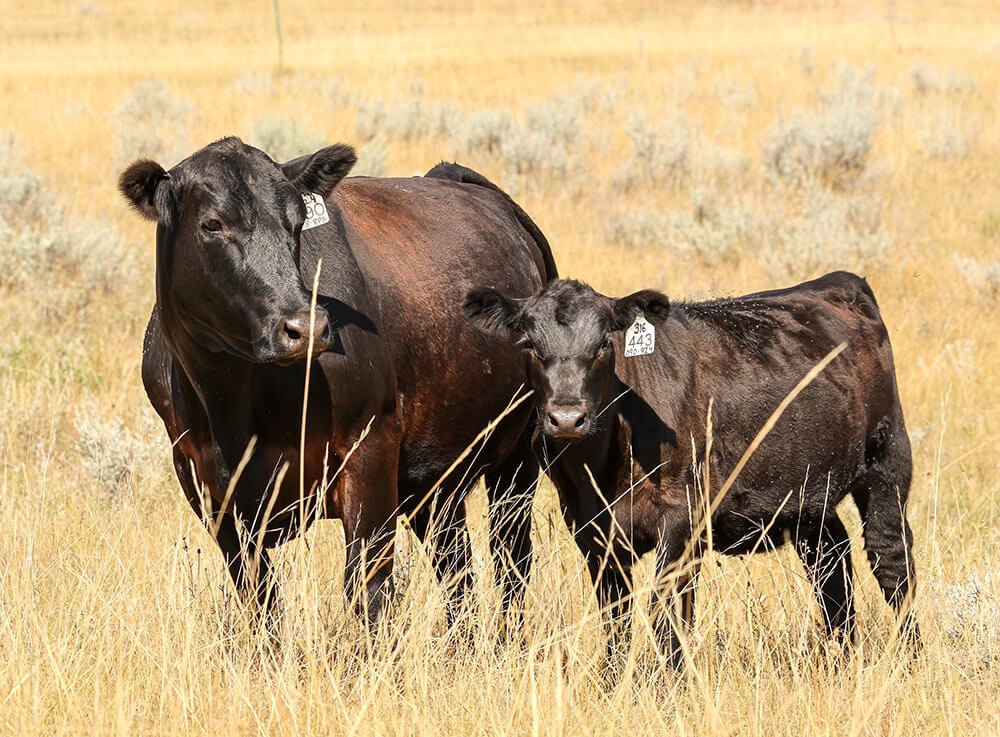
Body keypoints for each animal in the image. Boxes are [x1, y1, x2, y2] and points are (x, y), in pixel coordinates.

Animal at [119, 137, 557, 636]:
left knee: (511, 559)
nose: (305, 327)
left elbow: (368, 592)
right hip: (436, 479)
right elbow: (261, 603)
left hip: (520, 452)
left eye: (296, 222)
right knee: (456, 567)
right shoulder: (209, 490)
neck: (233, 403)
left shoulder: (369, 451)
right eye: (212, 223)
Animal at [463, 272, 919, 669]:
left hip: (887, 461)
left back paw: (908, 659)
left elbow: (666, 612)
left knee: (891, 559)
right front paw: (612, 681)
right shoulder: (590, 528)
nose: (567, 418)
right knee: (831, 563)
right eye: (528, 343)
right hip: (809, 493)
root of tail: (838, 283)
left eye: (605, 344)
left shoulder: (682, 520)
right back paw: (841, 656)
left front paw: (671, 686)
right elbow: (616, 614)